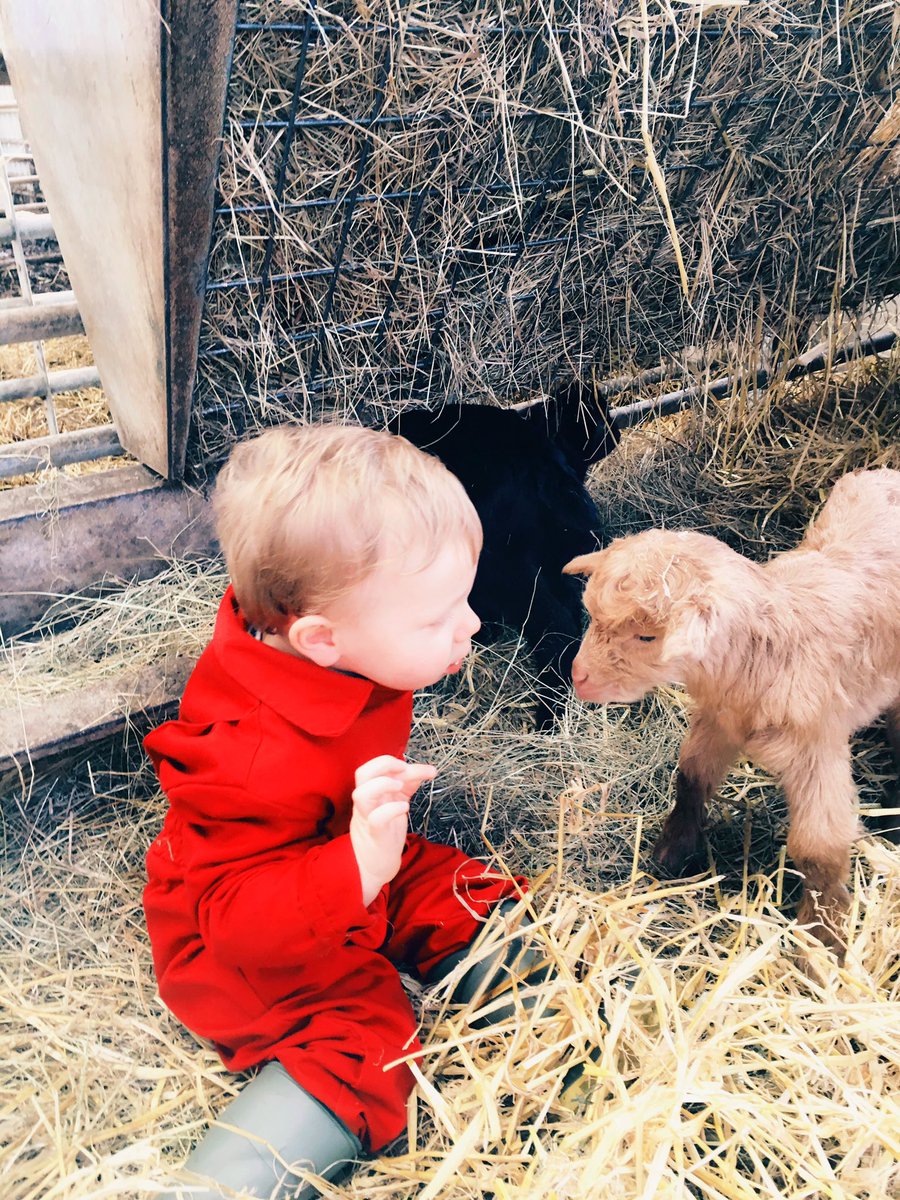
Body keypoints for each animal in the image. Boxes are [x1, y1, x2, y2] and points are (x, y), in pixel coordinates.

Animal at [563, 468, 900, 961]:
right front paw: (671, 851)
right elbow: (691, 776)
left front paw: (822, 941)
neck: (764, 657)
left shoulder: (817, 748)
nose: (579, 677)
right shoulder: (718, 722)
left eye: (647, 637)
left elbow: (819, 850)